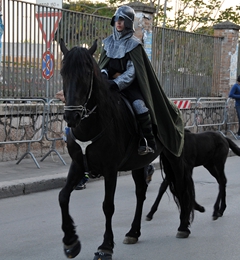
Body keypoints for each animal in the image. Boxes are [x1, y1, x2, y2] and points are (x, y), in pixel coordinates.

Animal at [58, 39, 195, 260]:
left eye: (86, 73)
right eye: (63, 72)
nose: (72, 117)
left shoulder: (110, 169)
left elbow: (108, 206)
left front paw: (105, 247)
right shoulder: (78, 165)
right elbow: (63, 196)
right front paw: (71, 242)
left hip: (174, 156)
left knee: (181, 186)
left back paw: (183, 227)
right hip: (138, 164)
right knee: (141, 193)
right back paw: (133, 232)